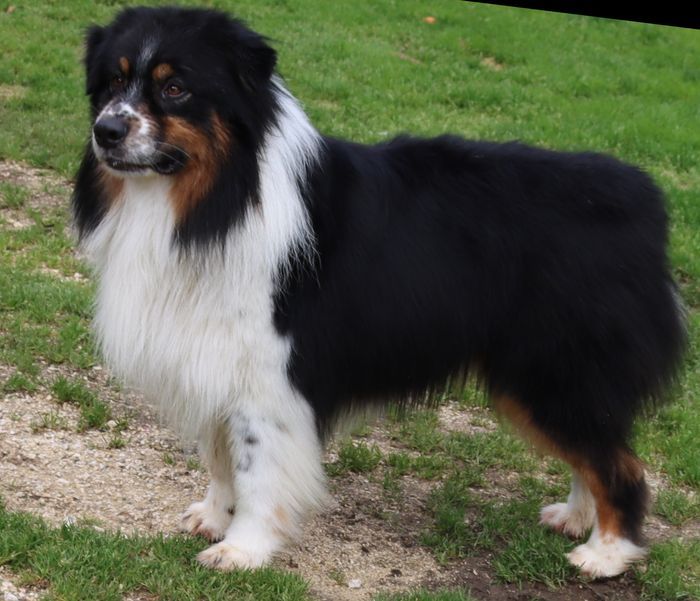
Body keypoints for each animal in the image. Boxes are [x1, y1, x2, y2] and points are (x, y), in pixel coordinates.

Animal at [73, 7, 686, 578]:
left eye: (175, 88)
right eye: (111, 83)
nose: (106, 130)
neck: (216, 196)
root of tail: (643, 201)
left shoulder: (270, 379)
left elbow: (257, 469)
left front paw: (243, 549)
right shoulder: (209, 356)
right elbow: (221, 455)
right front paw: (214, 516)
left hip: (554, 373)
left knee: (621, 466)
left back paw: (606, 553)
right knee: (596, 454)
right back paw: (577, 518)